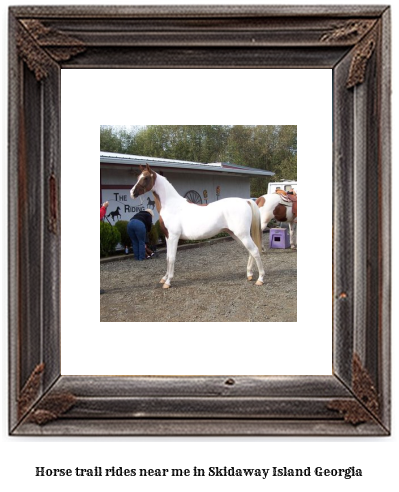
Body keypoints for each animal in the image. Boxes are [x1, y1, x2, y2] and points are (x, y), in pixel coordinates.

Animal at [131, 165, 266, 288]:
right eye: (138, 177)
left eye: (146, 178)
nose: (132, 193)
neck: (172, 205)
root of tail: (246, 201)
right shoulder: (167, 237)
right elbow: (168, 258)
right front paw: (164, 278)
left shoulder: (174, 237)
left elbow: (172, 258)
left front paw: (168, 282)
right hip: (236, 235)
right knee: (250, 251)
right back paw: (249, 275)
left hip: (242, 235)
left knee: (255, 250)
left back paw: (260, 279)